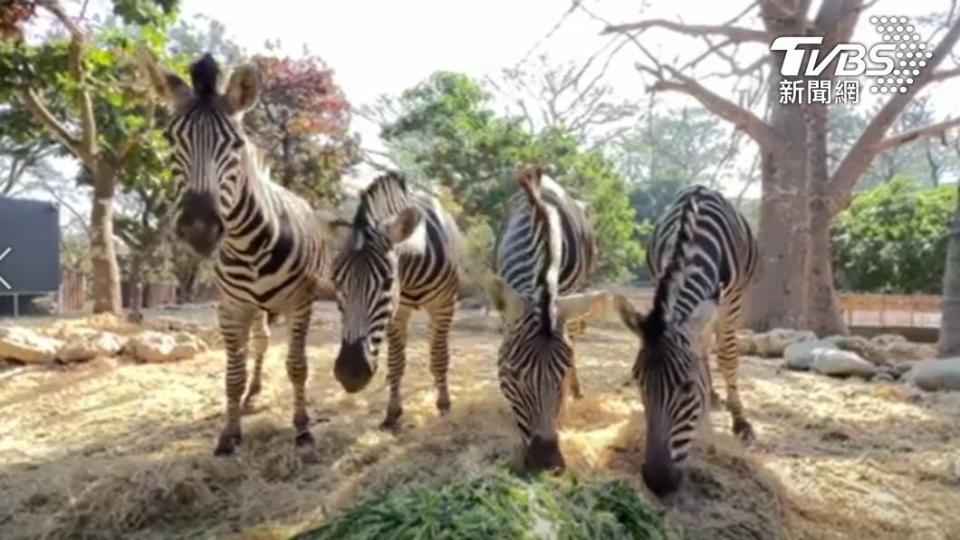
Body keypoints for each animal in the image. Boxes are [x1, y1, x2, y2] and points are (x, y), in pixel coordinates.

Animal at [141, 52, 330, 456]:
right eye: (169, 139)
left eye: (236, 144)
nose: (199, 227)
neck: (248, 244)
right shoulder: (229, 307)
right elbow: (233, 372)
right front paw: (229, 433)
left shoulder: (300, 302)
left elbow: (297, 366)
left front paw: (303, 429)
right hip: (252, 307)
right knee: (256, 345)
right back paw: (252, 394)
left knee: (266, 344)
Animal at [316, 171, 464, 428]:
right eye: (336, 282)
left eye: (387, 282)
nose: (350, 373)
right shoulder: (397, 311)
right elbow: (396, 362)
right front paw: (392, 412)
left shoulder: (444, 305)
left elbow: (439, 357)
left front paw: (444, 405)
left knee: (436, 343)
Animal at [616, 187, 756, 498]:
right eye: (639, 383)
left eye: (688, 387)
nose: (657, 482)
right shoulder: (661, 280)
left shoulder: (732, 300)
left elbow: (728, 356)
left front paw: (739, 422)